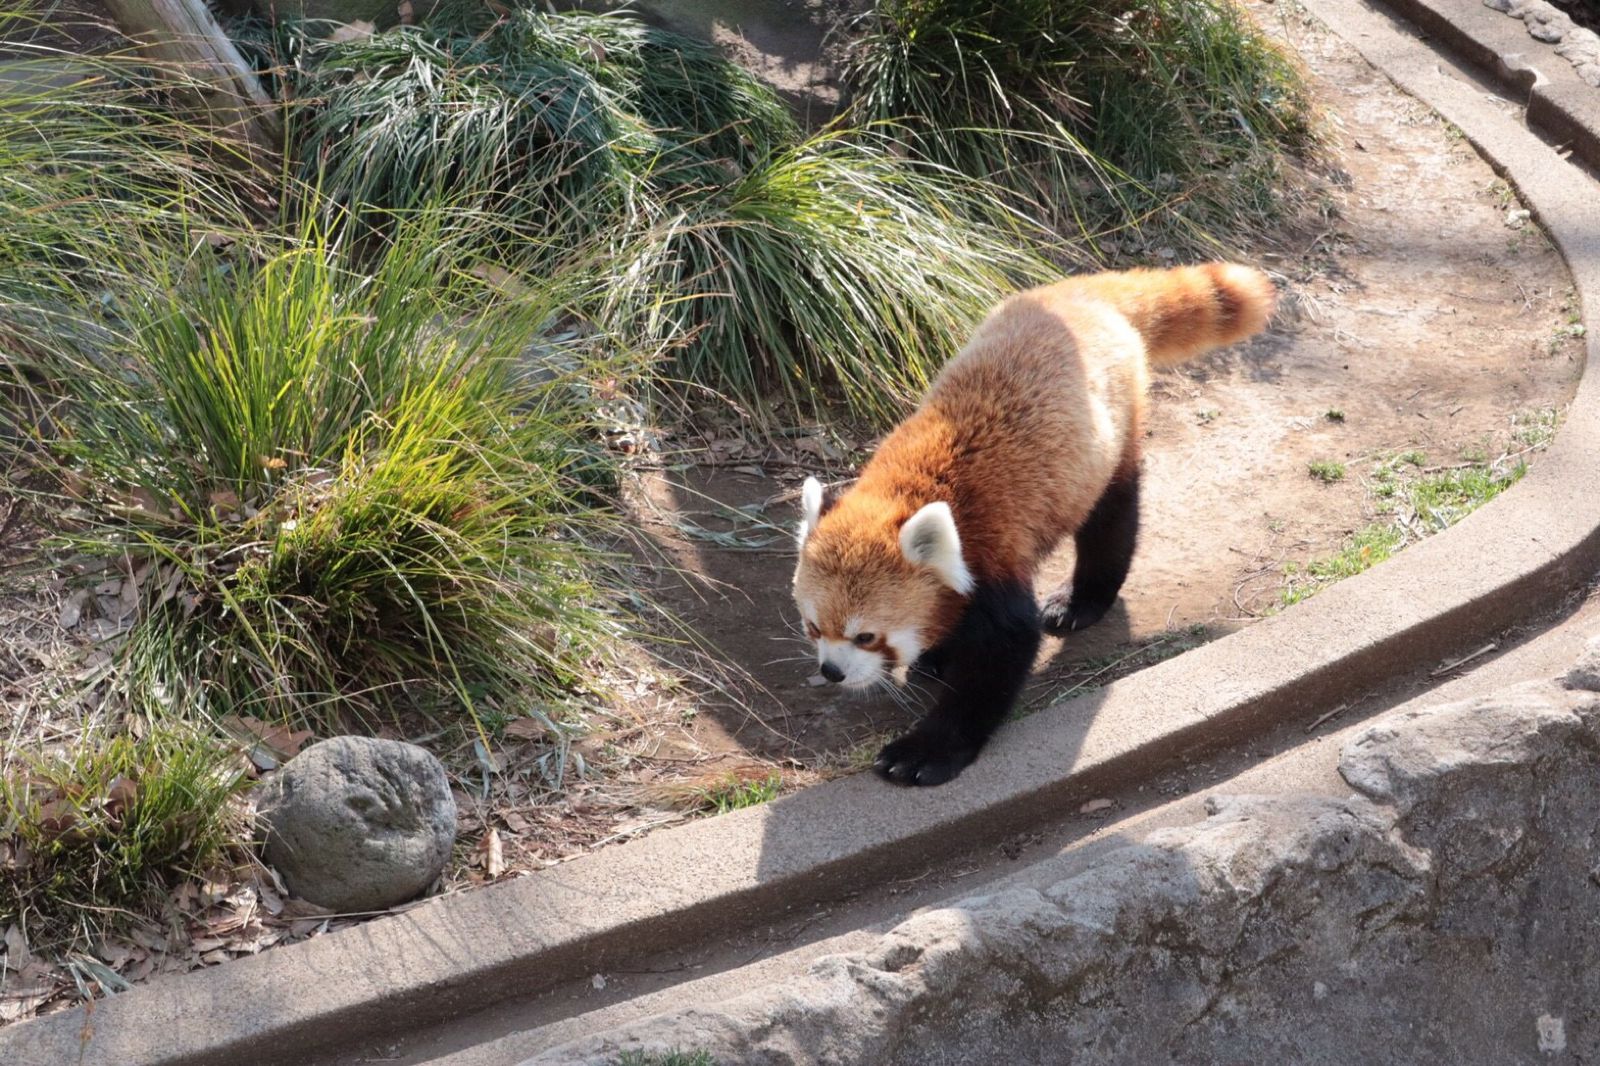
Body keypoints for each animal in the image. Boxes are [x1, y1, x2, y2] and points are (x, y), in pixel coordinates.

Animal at [793, 262, 1280, 784]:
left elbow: (1000, 653)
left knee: (1111, 518)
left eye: (866, 636)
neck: (908, 490)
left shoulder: (990, 552)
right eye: (814, 627)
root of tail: (1077, 291)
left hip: (1107, 444)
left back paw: (1082, 600)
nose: (832, 672)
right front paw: (935, 656)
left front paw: (926, 750)